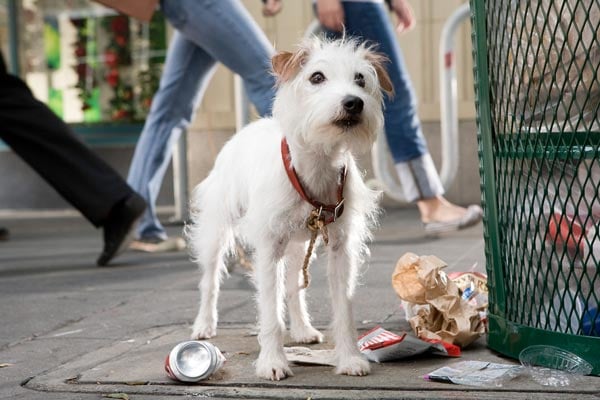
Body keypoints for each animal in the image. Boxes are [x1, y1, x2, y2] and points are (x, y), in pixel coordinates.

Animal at [189, 37, 394, 382]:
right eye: (316, 77)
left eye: (360, 79)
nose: (353, 103)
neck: (316, 163)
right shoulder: (269, 248)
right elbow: (270, 311)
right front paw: (272, 362)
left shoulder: (341, 249)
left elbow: (344, 309)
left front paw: (350, 358)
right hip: (217, 231)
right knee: (209, 279)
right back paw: (204, 324)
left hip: (299, 245)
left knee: (295, 289)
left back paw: (302, 329)